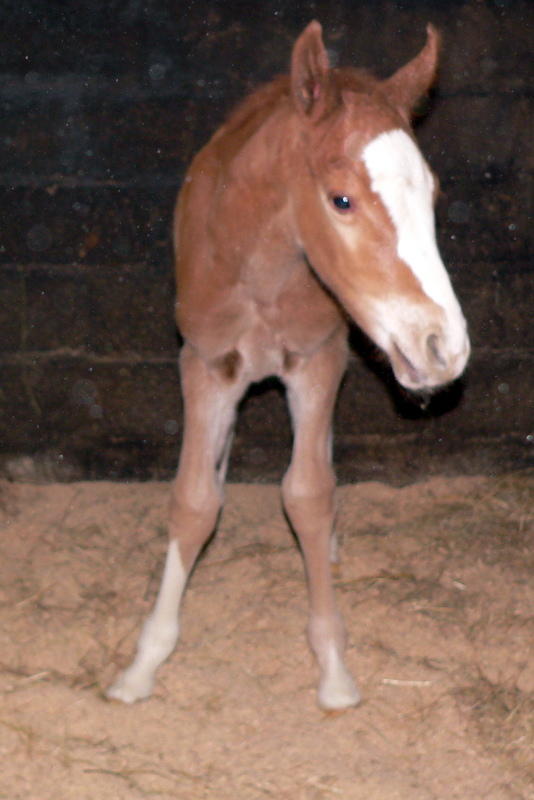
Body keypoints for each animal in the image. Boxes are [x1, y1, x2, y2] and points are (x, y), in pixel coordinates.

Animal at [108, 18, 468, 708]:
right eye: (342, 200)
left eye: (434, 194)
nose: (445, 347)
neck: (261, 271)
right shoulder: (203, 364)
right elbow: (192, 501)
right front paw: (142, 665)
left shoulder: (316, 359)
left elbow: (308, 493)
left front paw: (333, 667)